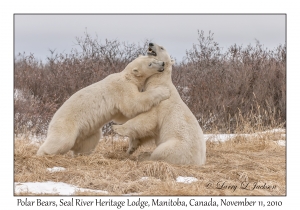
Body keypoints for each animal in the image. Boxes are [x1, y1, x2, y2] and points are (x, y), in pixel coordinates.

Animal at [35, 55, 169, 156]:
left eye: (154, 58)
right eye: (150, 64)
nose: (162, 63)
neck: (128, 77)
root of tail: (51, 122)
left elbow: (122, 115)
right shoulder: (122, 88)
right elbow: (132, 104)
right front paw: (163, 91)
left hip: (87, 133)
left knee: (89, 142)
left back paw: (82, 154)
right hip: (66, 125)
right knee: (61, 141)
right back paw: (42, 153)